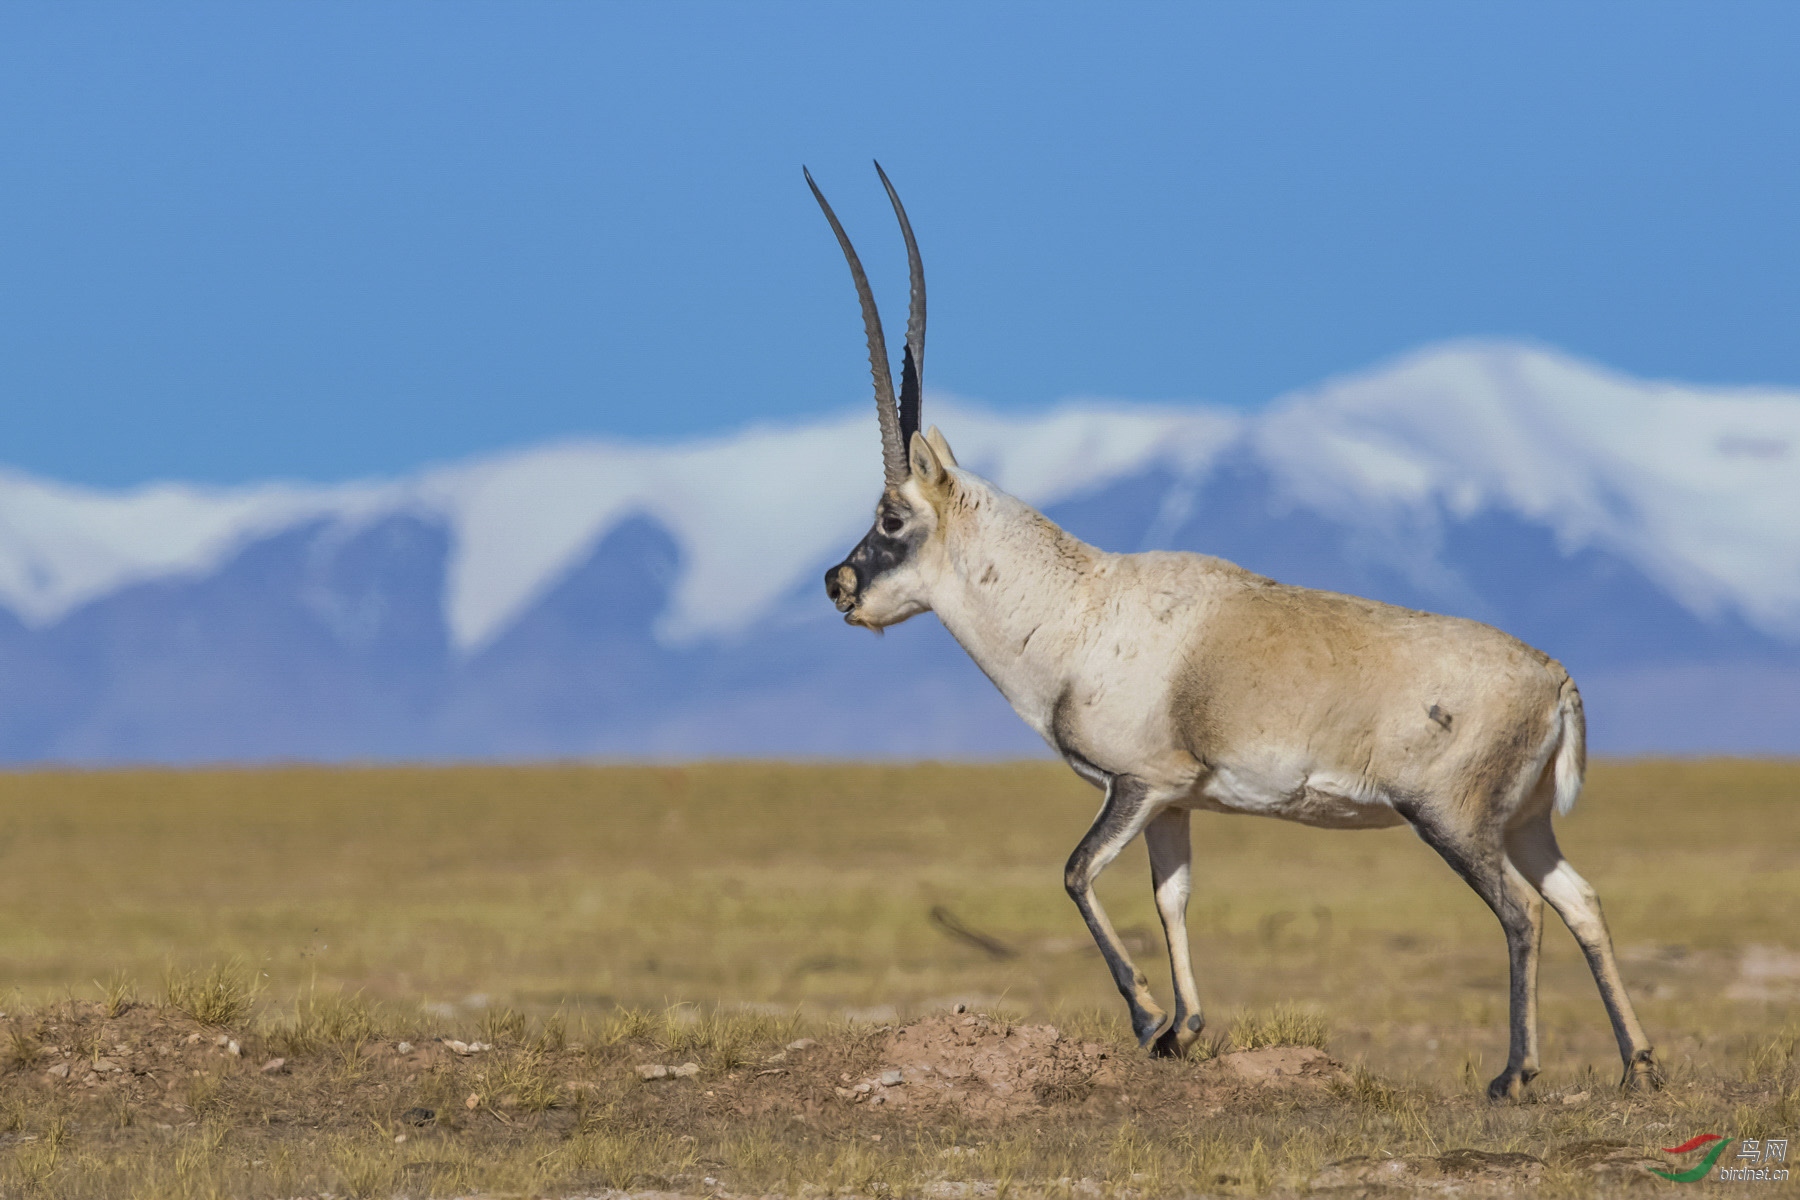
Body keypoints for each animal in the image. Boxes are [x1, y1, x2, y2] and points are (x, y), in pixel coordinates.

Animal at [810, 164, 1663, 1101]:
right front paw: (1184, 1028)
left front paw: (1148, 1018)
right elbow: (1171, 897)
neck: (1077, 607)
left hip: (1455, 822)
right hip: (1526, 824)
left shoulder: (1135, 784)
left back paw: (1516, 1074)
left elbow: (1075, 873)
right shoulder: (1175, 800)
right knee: (1581, 902)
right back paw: (1638, 1064)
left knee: (1523, 911)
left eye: (892, 517)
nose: (838, 584)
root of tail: (1556, 679)